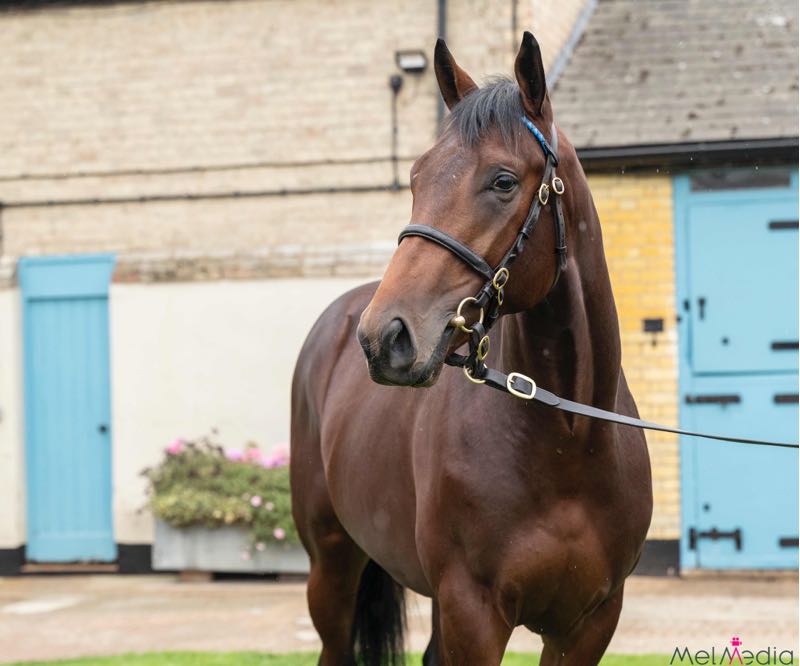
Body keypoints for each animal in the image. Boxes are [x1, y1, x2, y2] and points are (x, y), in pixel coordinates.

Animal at [291, 32, 653, 665]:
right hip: (331, 570)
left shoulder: (589, 624)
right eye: (416, 178)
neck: (569, 441)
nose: (385, 336)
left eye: (503, 181)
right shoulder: (474, 611)